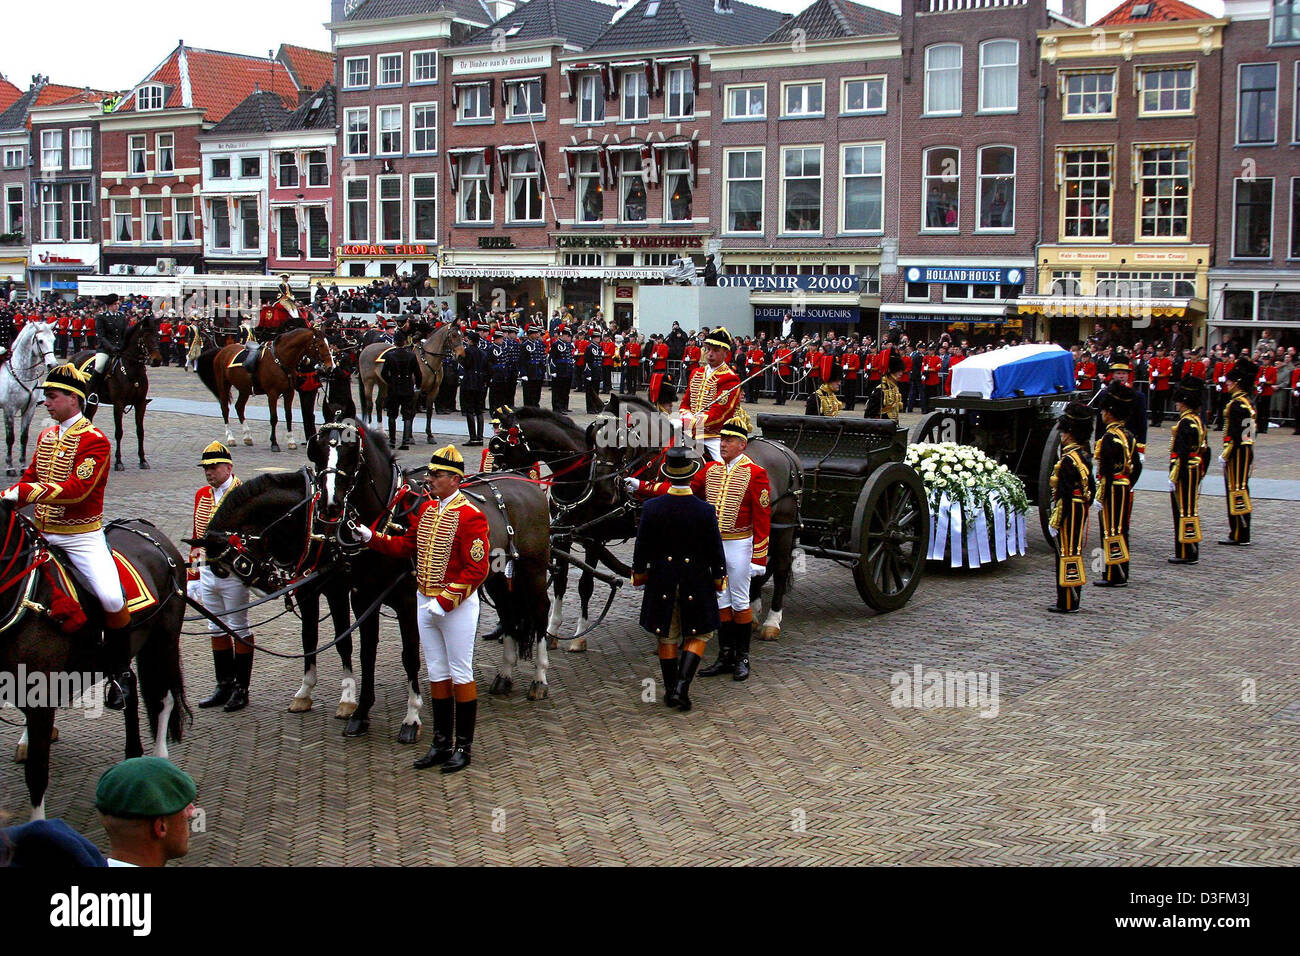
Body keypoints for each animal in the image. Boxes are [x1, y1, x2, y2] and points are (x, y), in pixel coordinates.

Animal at [1, 325, 58, 478]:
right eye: (40, 340)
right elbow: (10, 438)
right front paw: (9, 467)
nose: (52, 364)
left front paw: (23, 465)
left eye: (53, 339)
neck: (22, 373)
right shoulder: (9, 410)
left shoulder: (29, 409)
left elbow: (23, 437)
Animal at [195, 329, 335, 452]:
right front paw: (274, 444)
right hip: (223, 385)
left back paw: (247, 437)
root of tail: (222, 350)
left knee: (239, 407)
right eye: (321, 345)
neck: (280, 360)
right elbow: (274, 418)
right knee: (225, 409)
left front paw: (291, 441)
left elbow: (288, 416)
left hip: (244, 388)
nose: (330, 366)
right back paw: (231, 438)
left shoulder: (289, 392)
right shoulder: (272, 394)